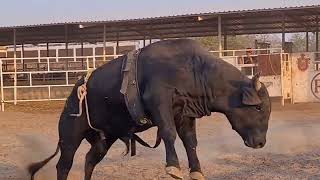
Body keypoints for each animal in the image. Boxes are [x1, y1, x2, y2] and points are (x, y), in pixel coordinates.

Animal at [28, 38, 272, 179]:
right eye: (259, 108)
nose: (261, 143)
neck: (191, 69)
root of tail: (75, 91)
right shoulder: (159, 103)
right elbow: (168, 133)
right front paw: (173, 167)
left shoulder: (185, 114)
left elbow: (190, 141)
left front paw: (196, 170)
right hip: (69, 135)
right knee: (64, 165)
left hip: (104, 139)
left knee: (89, 160)